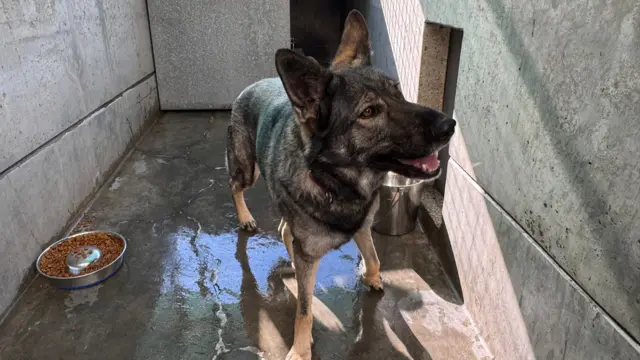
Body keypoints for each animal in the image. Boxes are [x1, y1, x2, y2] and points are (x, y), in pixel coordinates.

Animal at [225, 9, 456, 360]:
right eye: (369, 112)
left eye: (398, 92)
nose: (450, 125)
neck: (337, 182)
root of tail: (253, 85)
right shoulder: (311, 253)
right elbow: (305, 310)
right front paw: (301, 349)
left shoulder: (362, 227)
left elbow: (373, 256)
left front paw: (373, 277)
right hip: (246, 169)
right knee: (236, 187)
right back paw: (246, 218)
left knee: (285, 230)